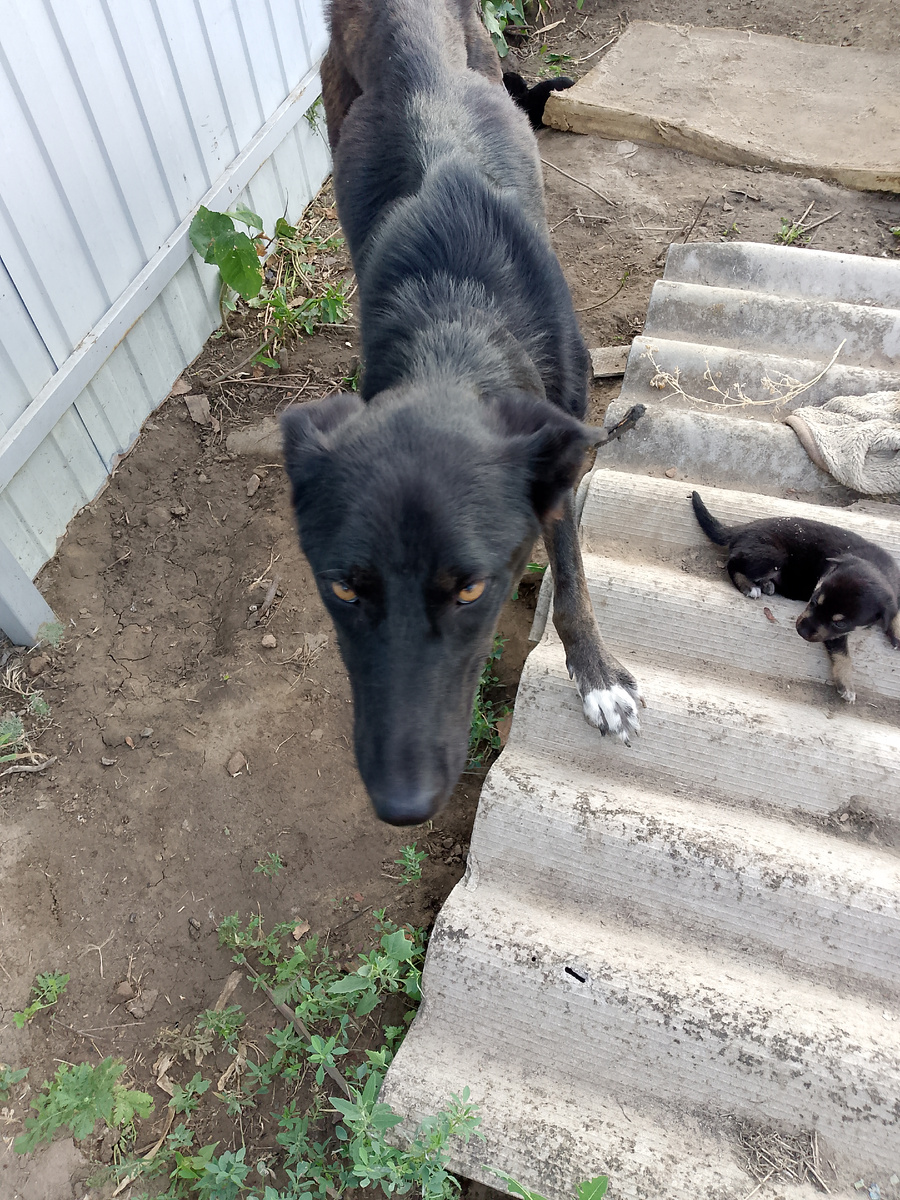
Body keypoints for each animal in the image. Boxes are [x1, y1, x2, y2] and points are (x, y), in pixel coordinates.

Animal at [282, 0, 643, 825]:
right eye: (343, 588)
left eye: (471, 591)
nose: (402, 804)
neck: (456, 328)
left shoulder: (559, 445)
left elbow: (572, 579)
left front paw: (598, 679)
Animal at [696, 489, 897, 700]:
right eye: (813, 601)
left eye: (840, 623)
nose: (801, 631)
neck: (878, 567)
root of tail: (742, 529)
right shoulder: (832, 634)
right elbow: (840, 650)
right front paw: (847, 685)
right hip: (774, 555)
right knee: (733, 563)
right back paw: (749, 586)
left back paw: (766, 584)